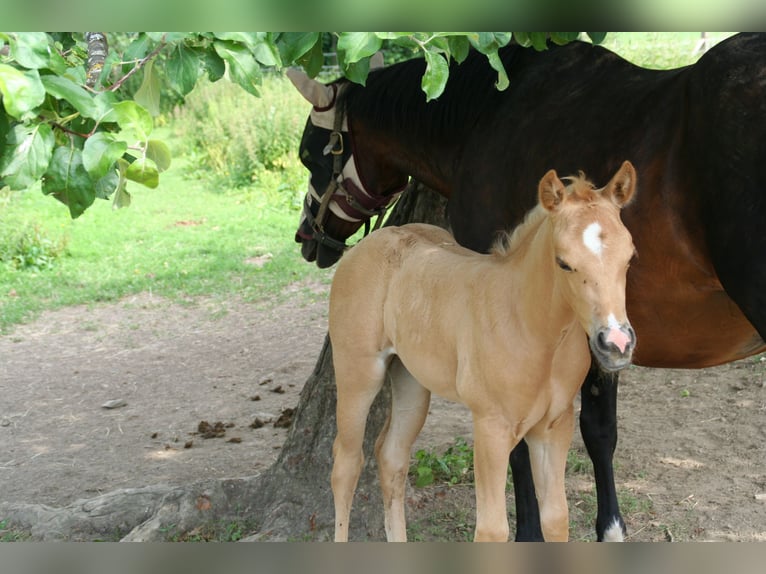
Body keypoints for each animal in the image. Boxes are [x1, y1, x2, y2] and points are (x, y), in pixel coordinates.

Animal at [329, 163, 637, 542]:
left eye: (629, 257)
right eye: (564, 263)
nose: (616, 343)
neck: (534, 329)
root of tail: (362, 246)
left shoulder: (553, 426)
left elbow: (556, 518)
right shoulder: (491, 427)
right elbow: (492, 529)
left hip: (411, 381)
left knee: (392, 458)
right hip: (358, 374)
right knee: (346, 465)